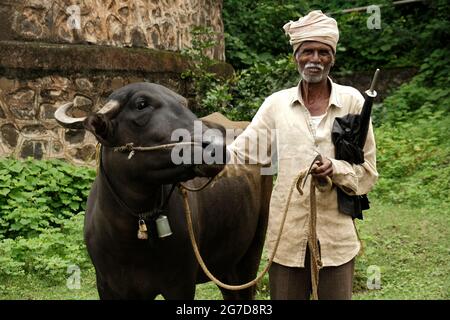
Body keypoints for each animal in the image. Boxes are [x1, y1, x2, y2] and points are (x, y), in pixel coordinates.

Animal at [54, 82, 268, 300]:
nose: (216, 146)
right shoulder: (106, 286)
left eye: (183, 103)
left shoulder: (181, 284)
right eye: (141, 104)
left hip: (253, 248)